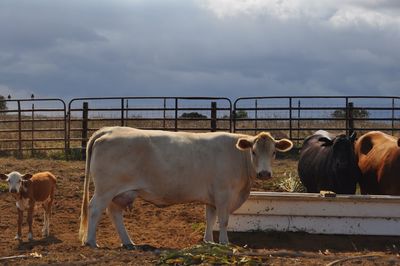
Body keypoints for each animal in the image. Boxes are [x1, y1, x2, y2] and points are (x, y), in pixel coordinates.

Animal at [79, 125, 292, 248]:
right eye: (253, 152)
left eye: (274, 152)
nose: (264, 173)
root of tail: (109, 130)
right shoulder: (223, 193)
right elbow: (223, 220)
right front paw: (224, 243)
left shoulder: (212, 197)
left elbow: (210, 218)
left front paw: (208, 241)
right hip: (105, 189)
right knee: (95, 209)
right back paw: (91, 242)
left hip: (121, 192)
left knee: (114, 213)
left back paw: (128, 242)